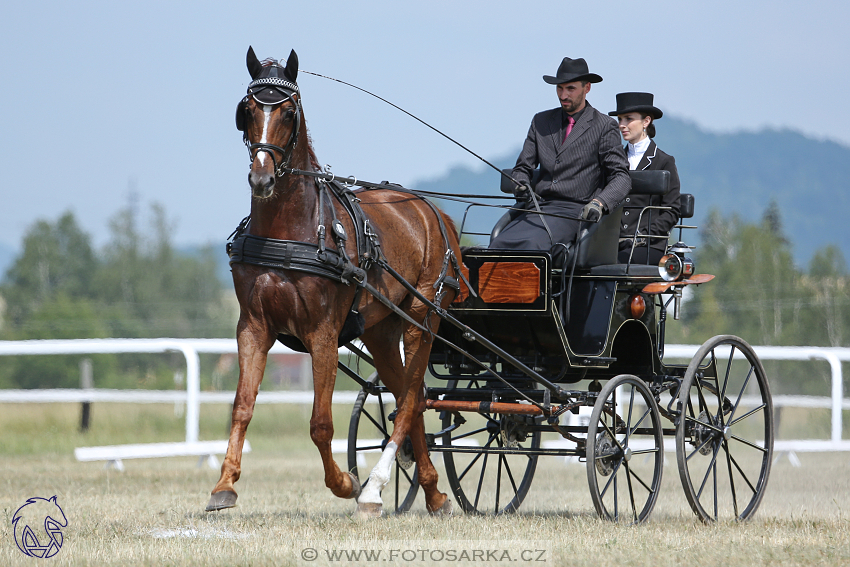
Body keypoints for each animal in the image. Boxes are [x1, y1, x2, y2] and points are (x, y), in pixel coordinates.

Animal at [205, 47, 458, 520]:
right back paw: (433, 491)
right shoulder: (253, 326)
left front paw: (344, 483)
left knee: (411, 399)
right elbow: (242, 407)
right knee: (408, 398)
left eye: (289, 112)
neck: (291, 230)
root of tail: (433, 212)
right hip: (382, 330)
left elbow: (321, 423)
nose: (262, 179)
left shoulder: (322, 331)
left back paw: (374, 489)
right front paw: (224, 485)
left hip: (422, 319)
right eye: (247, 110)